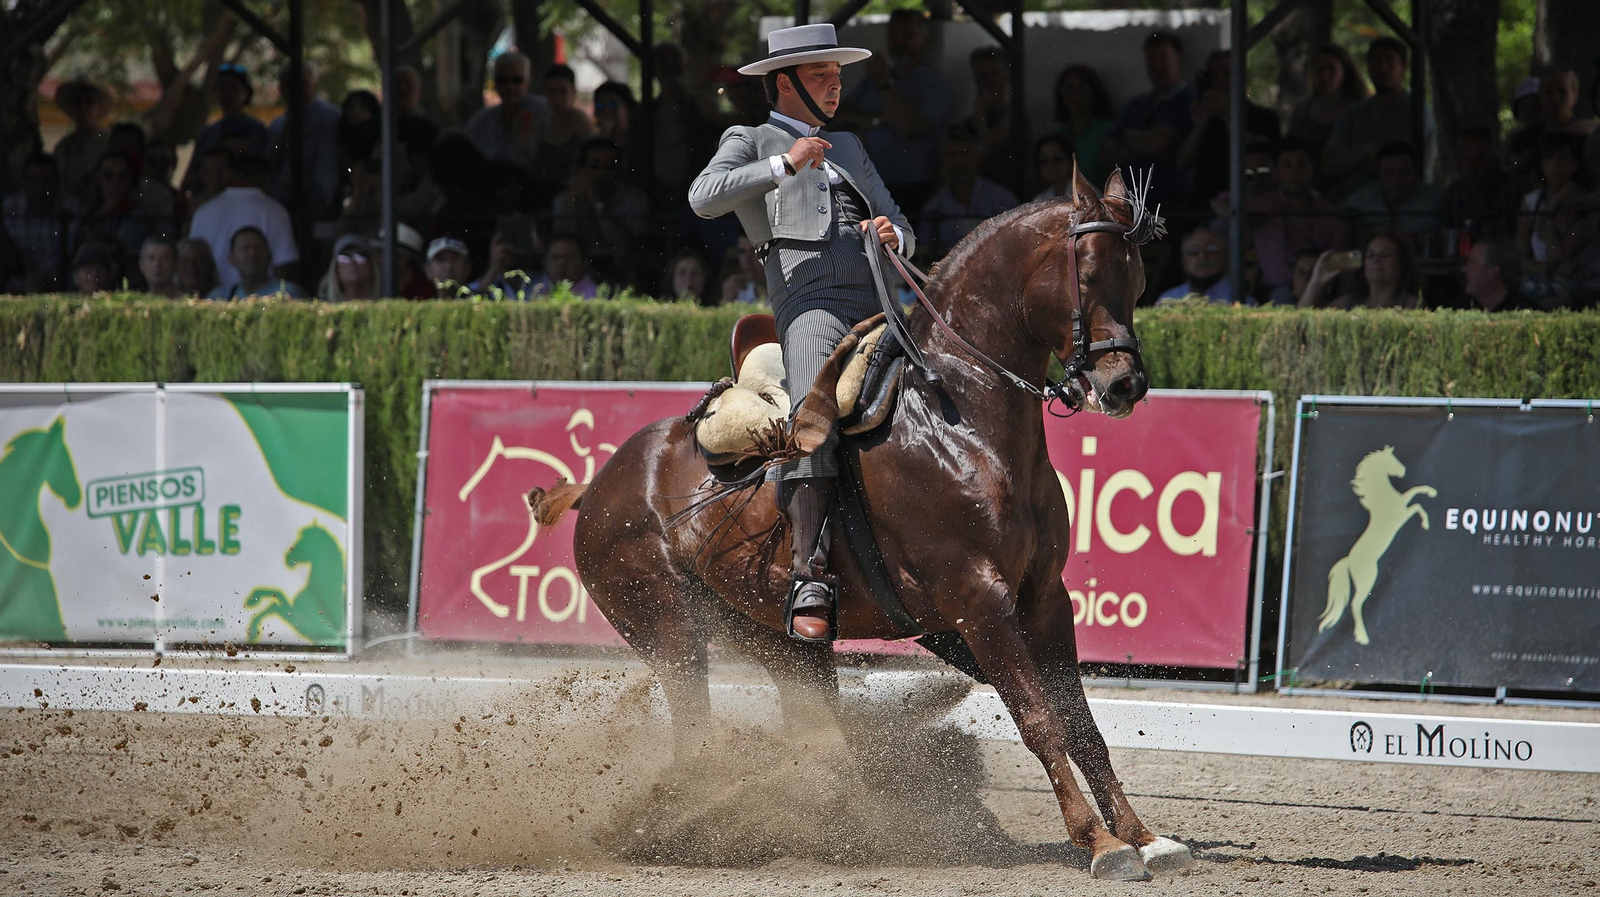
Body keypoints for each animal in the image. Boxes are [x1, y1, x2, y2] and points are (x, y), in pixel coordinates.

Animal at [528, 162, 1194, 881]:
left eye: (1140, 280)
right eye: (1090, 273)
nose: (1125, 385)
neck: (961, 418)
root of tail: (600, 483)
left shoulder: (1043, 598)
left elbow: (1081, 724)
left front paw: (1143, 836)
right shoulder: (979, 601)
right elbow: (1040, 719)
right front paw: (1099, 843)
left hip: (782, 642)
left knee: (815, 728)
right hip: (672, 632)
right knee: (697, 736)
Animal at [1318, 445, 1436, 645]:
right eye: (1392, 460)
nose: (1403, 471)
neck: (1382, 498)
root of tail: (1349, 561)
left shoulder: (1403, 503)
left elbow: (1415, 491)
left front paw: (1431, 492)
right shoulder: (1401, 515)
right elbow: (1417, 506)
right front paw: (1426, 523)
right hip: (1368, 578)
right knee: (1356, 604)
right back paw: (1363, 637)